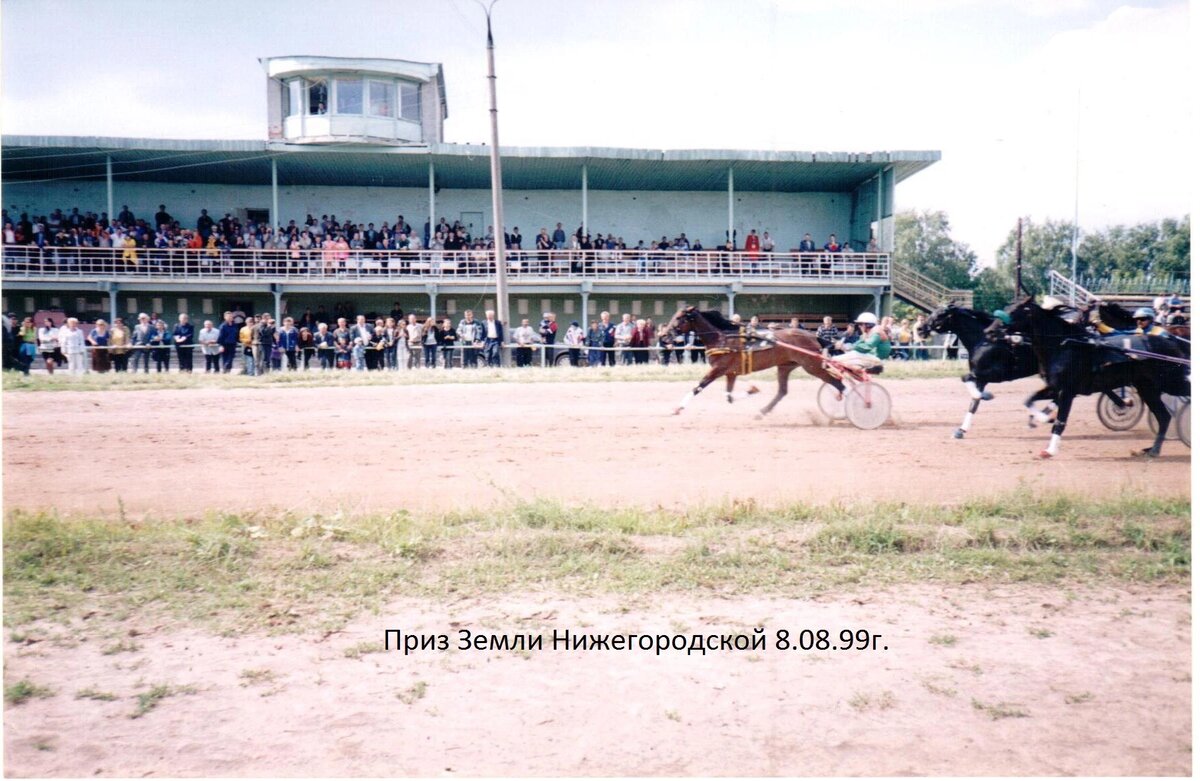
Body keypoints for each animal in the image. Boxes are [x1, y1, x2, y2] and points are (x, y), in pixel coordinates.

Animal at [667, 305, 844, 417]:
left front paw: (677, 408)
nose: (664, 335)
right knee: (782, 391)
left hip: (812, 365)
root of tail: (812, 336)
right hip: (785, 366)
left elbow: (698, 387)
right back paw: (762, 411)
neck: (722, 339)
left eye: (679, 318)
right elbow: (729, 397)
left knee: (838, 383)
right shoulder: (731, 373)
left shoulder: (718, 369)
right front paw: (753, 389)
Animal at [984, 297, 1190, 458]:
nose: (989, 331)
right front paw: (1040, 418)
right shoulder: (1054, 387)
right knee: (1163, 417)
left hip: (1169, 382)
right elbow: (1028, 400)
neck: (1064, 345)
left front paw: (1050, 450)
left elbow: (1060, 421)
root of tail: (1172, 343)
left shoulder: (1067, 391)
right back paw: (1152, 450)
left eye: (1015, 311)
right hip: (1147, 388)